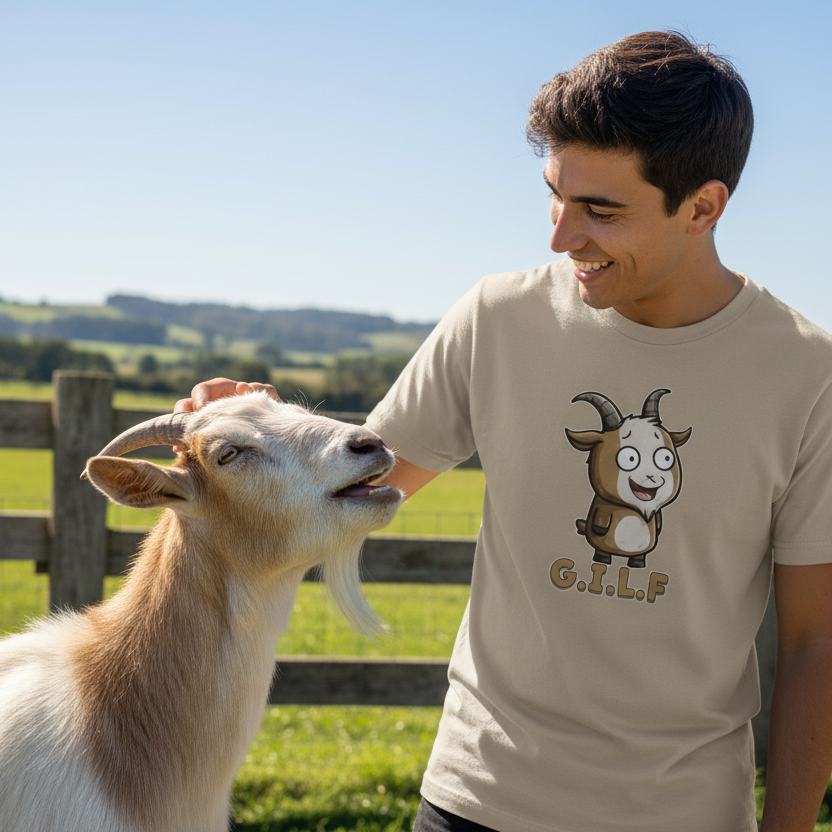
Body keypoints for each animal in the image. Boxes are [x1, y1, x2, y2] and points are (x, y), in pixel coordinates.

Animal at [565, 389, 691, 568]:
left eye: (666, 458)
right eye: (630, 458)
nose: (650, 475)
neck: (634, 508)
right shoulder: (602, 506)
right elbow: (600, 519)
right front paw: (600, 529)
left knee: (638, 555)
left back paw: (637, 563)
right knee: (602, 550)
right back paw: (602, 559)